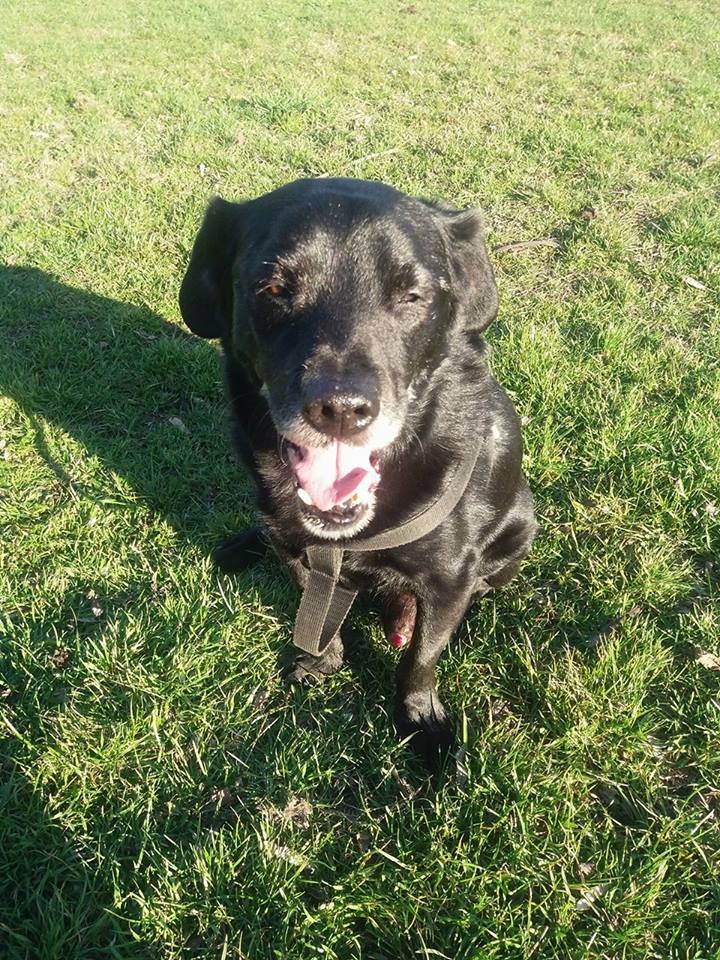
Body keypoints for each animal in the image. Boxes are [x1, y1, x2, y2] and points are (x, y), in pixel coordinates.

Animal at [179, 177, 537, 767]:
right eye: (273, 287)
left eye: (412, 296)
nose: (341, 409)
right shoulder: (304, 555)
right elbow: (319, 616)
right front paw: (322, 663)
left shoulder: (447, 579)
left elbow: (421, 660)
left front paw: (420, 720)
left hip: (521, 528)